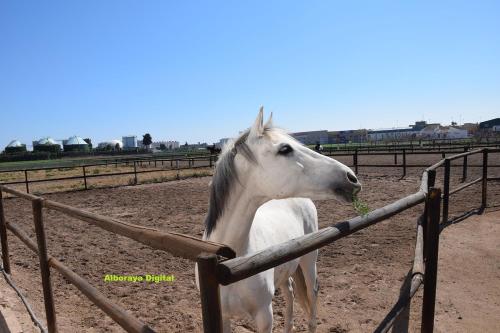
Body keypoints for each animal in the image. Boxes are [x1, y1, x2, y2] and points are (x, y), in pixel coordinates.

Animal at [197, 109, 362, 332]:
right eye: (285, 149)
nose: (351, 178)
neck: (228, 264)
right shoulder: (223, 318)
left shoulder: (265, 316)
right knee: (290, 292)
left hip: (309, 262)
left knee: (312, 293)